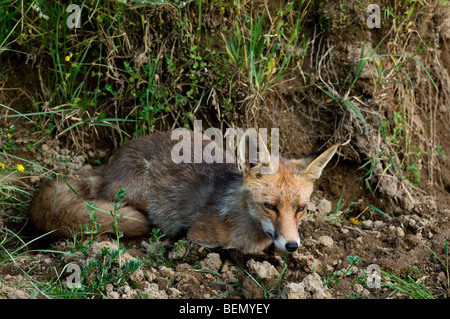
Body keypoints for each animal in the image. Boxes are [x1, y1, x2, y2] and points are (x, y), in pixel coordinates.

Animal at [29, 129, 338, 254]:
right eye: (269, 206)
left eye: (301, 209)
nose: (292, 246)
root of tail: (110, 163)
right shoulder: (199, 237)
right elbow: (226, 251)